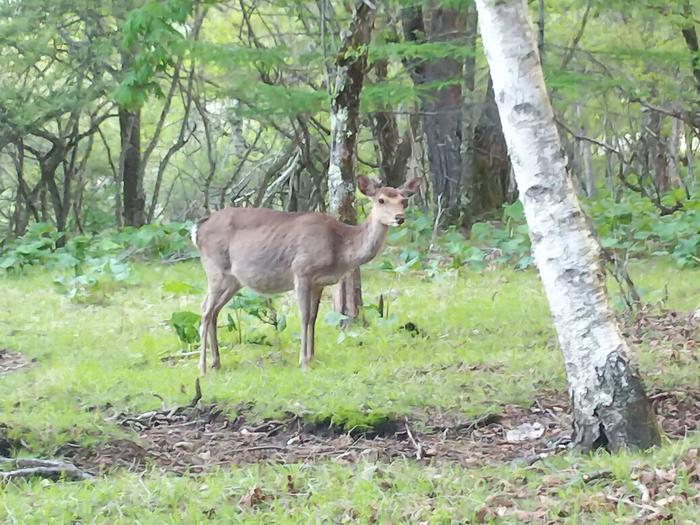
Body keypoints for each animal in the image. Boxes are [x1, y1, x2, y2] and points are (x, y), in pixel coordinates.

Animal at [190, 175, 422, 372]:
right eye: (381, 200)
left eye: (403, 201)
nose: (400, 217)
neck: (340, 247)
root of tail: (197, 229)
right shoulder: (301, 270)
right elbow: (302, 316)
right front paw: (303, 361)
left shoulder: (319, 282)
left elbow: (313, 317)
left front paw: (312, 356)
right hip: (215, 269)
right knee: (205, 310)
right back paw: (202, 367)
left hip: (233, 280)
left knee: (212, 311)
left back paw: (216, 363)